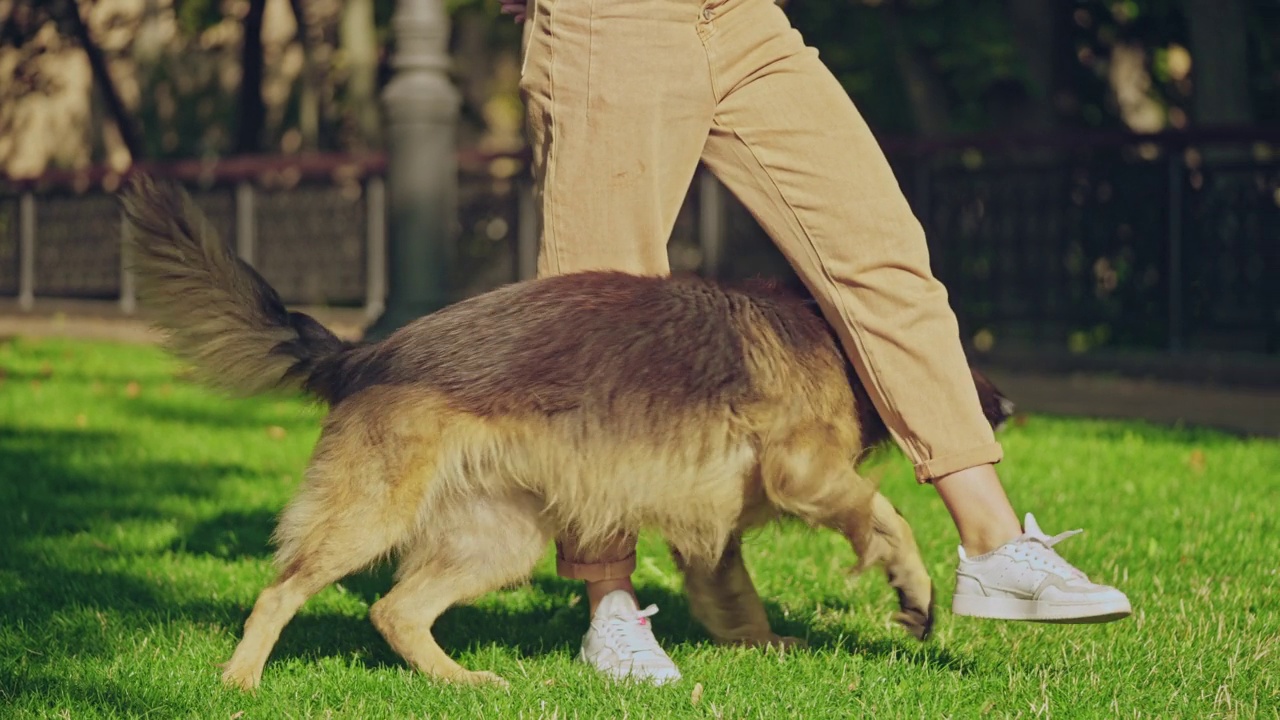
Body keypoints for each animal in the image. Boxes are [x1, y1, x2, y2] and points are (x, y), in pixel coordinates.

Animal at [117, 175, 1008, 691]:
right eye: (959, 356)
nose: (1001, 411)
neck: (828, 336)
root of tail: (363, 354)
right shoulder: (802, 470)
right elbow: (885, 516)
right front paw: (912, 587)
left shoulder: (710, 530)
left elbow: (735, 597)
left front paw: (758, 644)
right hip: (370, 518)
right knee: (282, 590)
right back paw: (240, 682)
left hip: (497, 541)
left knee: (395, 612)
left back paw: (460, 684)